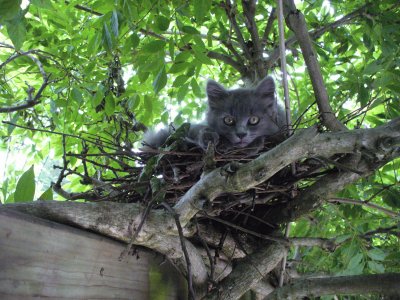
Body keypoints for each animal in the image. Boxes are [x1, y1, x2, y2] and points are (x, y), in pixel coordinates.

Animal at [142, 77, 286, 152]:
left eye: (254, 120)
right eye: (228, 120)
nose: (241, 135)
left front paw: (256, 143)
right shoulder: (192, 126)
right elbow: (197, 129)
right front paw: (209, 137)